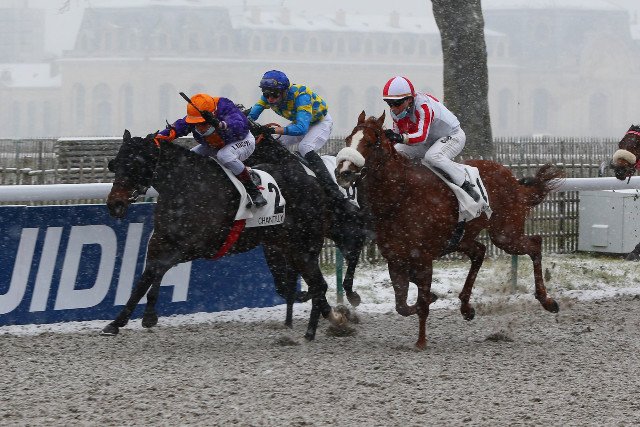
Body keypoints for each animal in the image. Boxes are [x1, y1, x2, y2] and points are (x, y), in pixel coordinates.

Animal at [101, 130, 347, 340]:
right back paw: (328, 320)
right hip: (287, 245)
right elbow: (146, 276)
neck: (184, 186)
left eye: (135, 163)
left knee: (318, 285)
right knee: (310, 285)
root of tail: (315, 181)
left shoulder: (198, 246)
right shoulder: (161, 240)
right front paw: (118, 322)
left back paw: (315, 330)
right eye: (116, 163)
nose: (115, 204)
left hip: (304, 245)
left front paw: (148, 315)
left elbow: (157, 269)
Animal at [335, 111, 565, 349]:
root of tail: (514, 181)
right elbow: (402, 305)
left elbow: (420, 301)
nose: (343, 172)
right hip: (463, 237)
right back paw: (466, 307)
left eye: (370, 143)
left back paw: (547, 301)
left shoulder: (423, 258)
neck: (399, 196)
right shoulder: (395, 258)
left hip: (505, 234)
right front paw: (431, 300)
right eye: (347, 140)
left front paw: (421, 341)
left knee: (535, 244)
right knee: (479, 251)